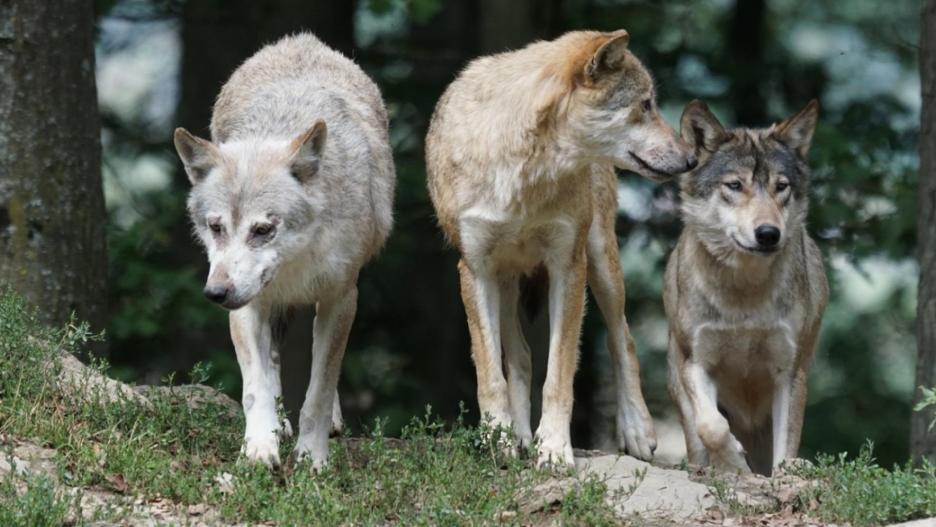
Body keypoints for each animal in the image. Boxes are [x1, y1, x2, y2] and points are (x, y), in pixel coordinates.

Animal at [173, 33, 394, 470]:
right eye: (216, 227)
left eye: (263, 230)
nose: (215, 293)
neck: (295, 263)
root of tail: (300, 40)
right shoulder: (247, 305)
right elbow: (255, 387)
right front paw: (260, 448)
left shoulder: (341, 298)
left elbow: (319, 391)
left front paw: (312, 458)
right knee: (272, 360)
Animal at [428, 28, 700, 466]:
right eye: (645, 105)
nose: (691, 159)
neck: (524, 172)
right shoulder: (475, 270)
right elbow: (490, 373)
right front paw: (499, 440)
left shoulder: (568, 266)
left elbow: (559, 374)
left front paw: (554, 449)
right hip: (506, 280)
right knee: (520, 356)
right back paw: (519, 436)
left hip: (602, 262)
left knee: (622, 338)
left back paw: (636, 431)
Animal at [664, 99, 828, 474]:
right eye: (735, 185)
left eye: (781, 186)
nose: (768, 234)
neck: (744, 294)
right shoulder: (695, 361)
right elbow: (711, 426)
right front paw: (734, 464)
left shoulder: (789, 371)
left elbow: (786, 447)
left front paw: (781, 472)